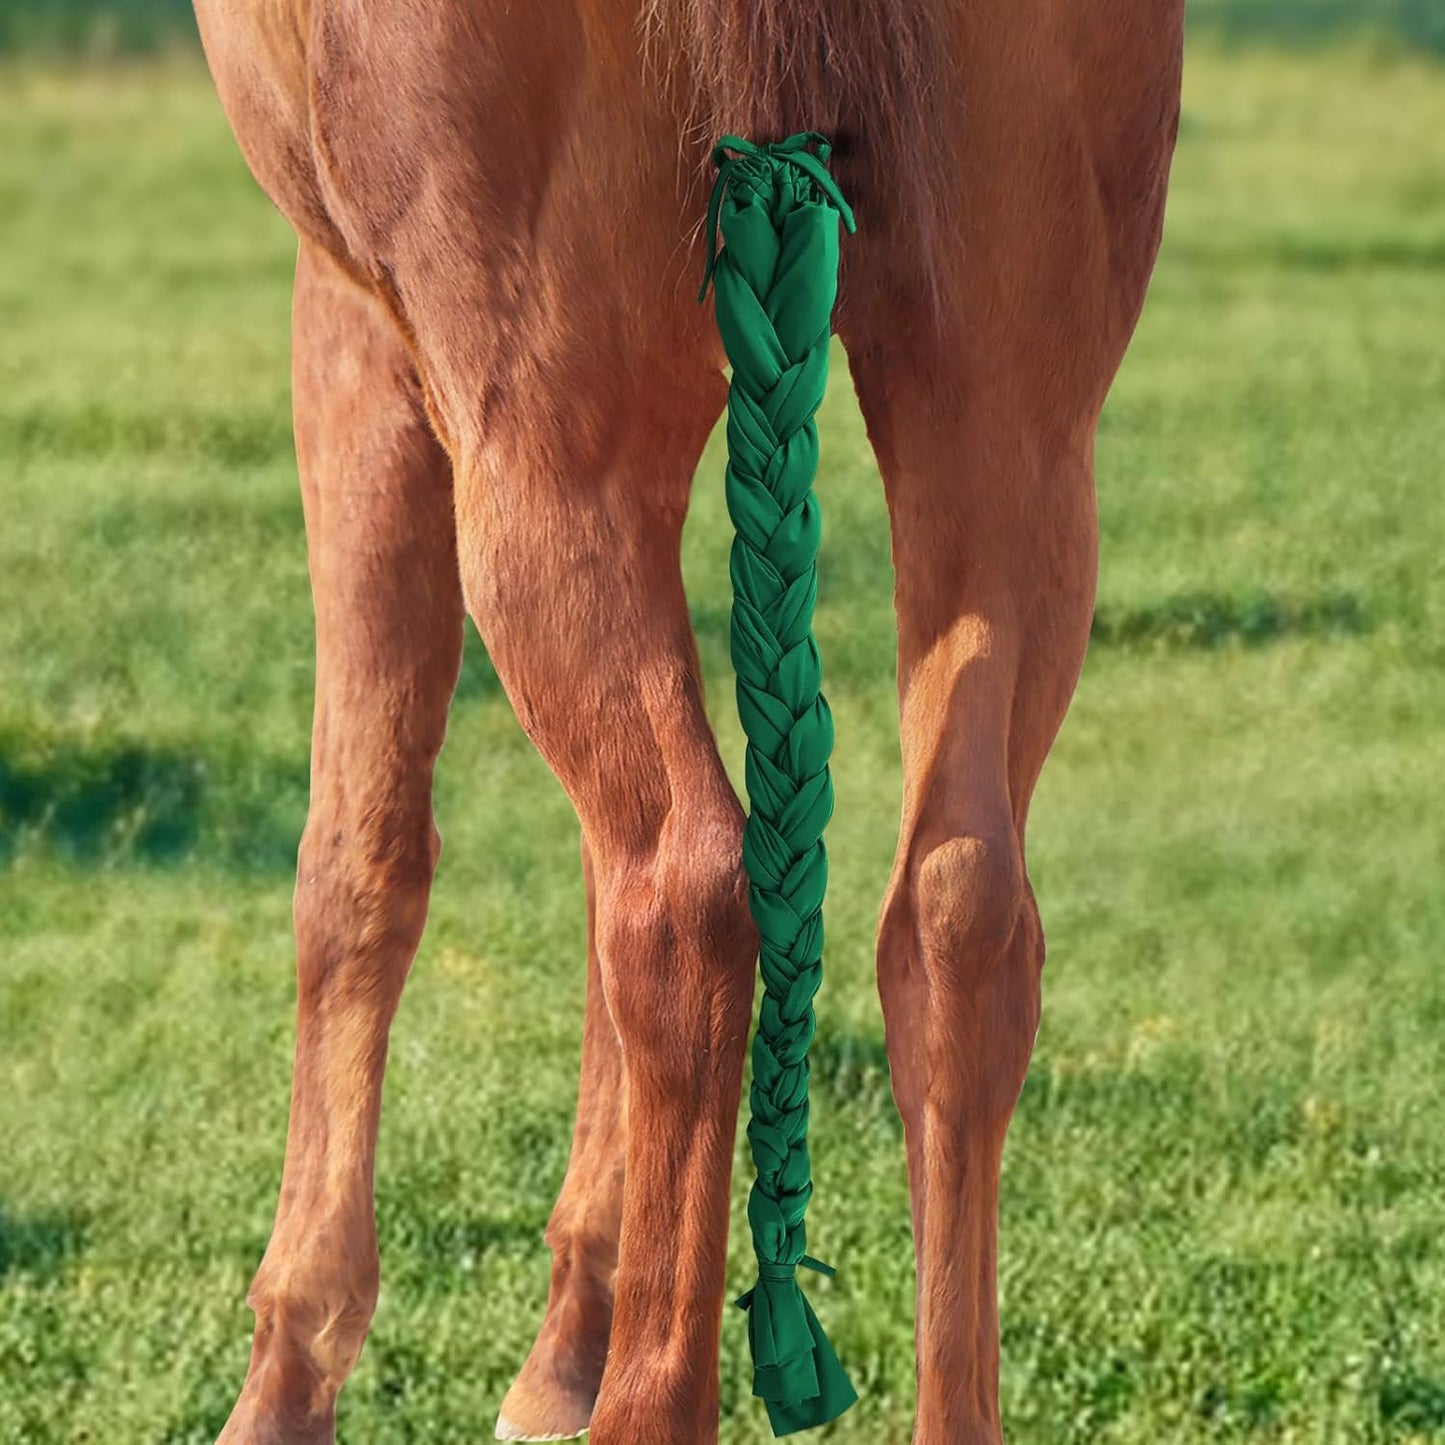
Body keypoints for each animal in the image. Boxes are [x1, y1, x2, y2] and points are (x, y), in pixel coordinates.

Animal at [190, 0, 1184, 1439]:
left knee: (683, 887)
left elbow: (357, 864)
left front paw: (287, 1373)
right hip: (1016, 431)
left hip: (539, 427)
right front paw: (570, 1330)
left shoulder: (357, 332)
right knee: (959, 910)